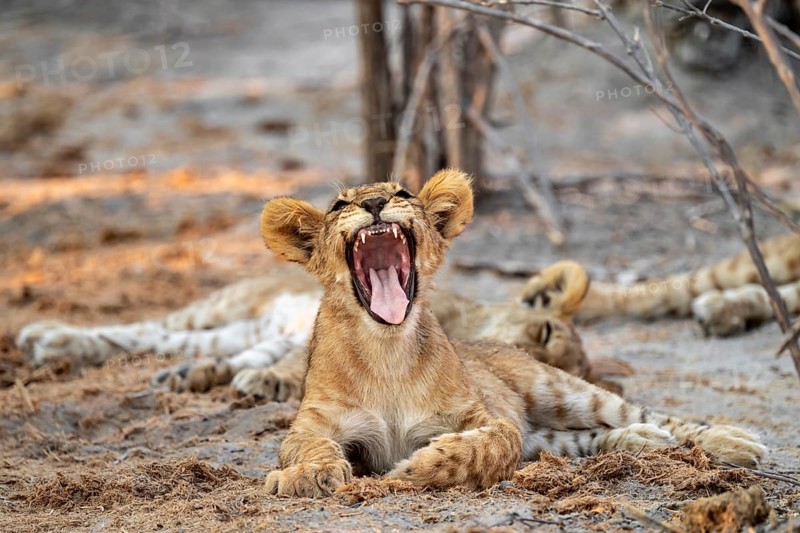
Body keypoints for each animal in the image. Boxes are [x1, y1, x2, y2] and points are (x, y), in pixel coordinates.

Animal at [255, 169, 765, 496]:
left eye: (402, 191)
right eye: (339, 205)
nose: (375, 203)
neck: (387, 351)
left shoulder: (479, 415)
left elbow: (493, 442)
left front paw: (420, 465)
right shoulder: (314, 421)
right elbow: (305, 446)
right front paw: (307, 476)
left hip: (558, 388)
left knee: (646, 414)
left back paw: (733, 442)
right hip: (550, 433)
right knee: (583, 438)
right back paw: (643, 442)